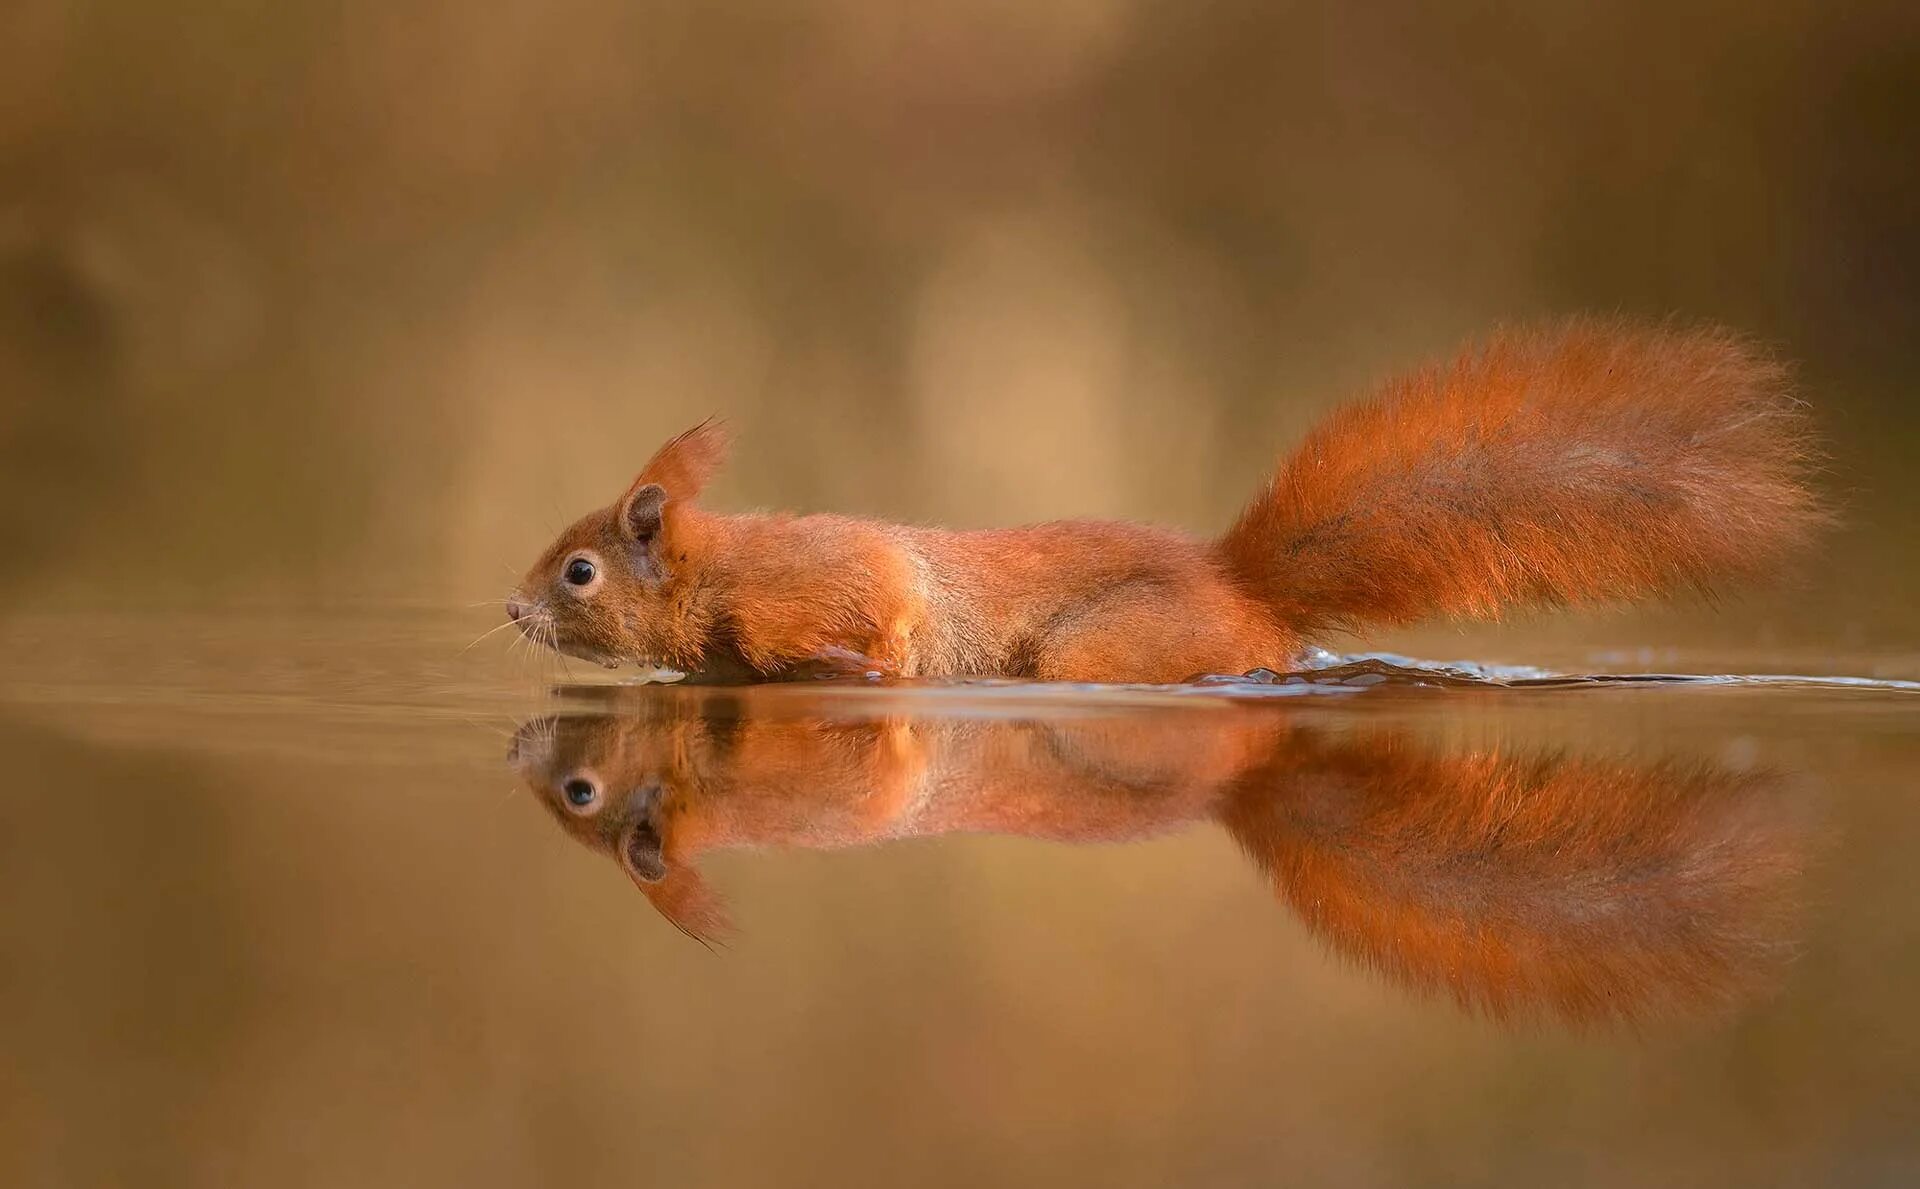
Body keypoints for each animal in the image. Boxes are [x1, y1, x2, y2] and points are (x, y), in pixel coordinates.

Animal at [503, 320, 1820, 683]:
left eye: (580, 570)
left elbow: (871, 612)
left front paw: (853, 662)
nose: (510, 613)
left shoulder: (810, 585)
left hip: (1107, 646)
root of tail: (1238, 583)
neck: (715, 576)